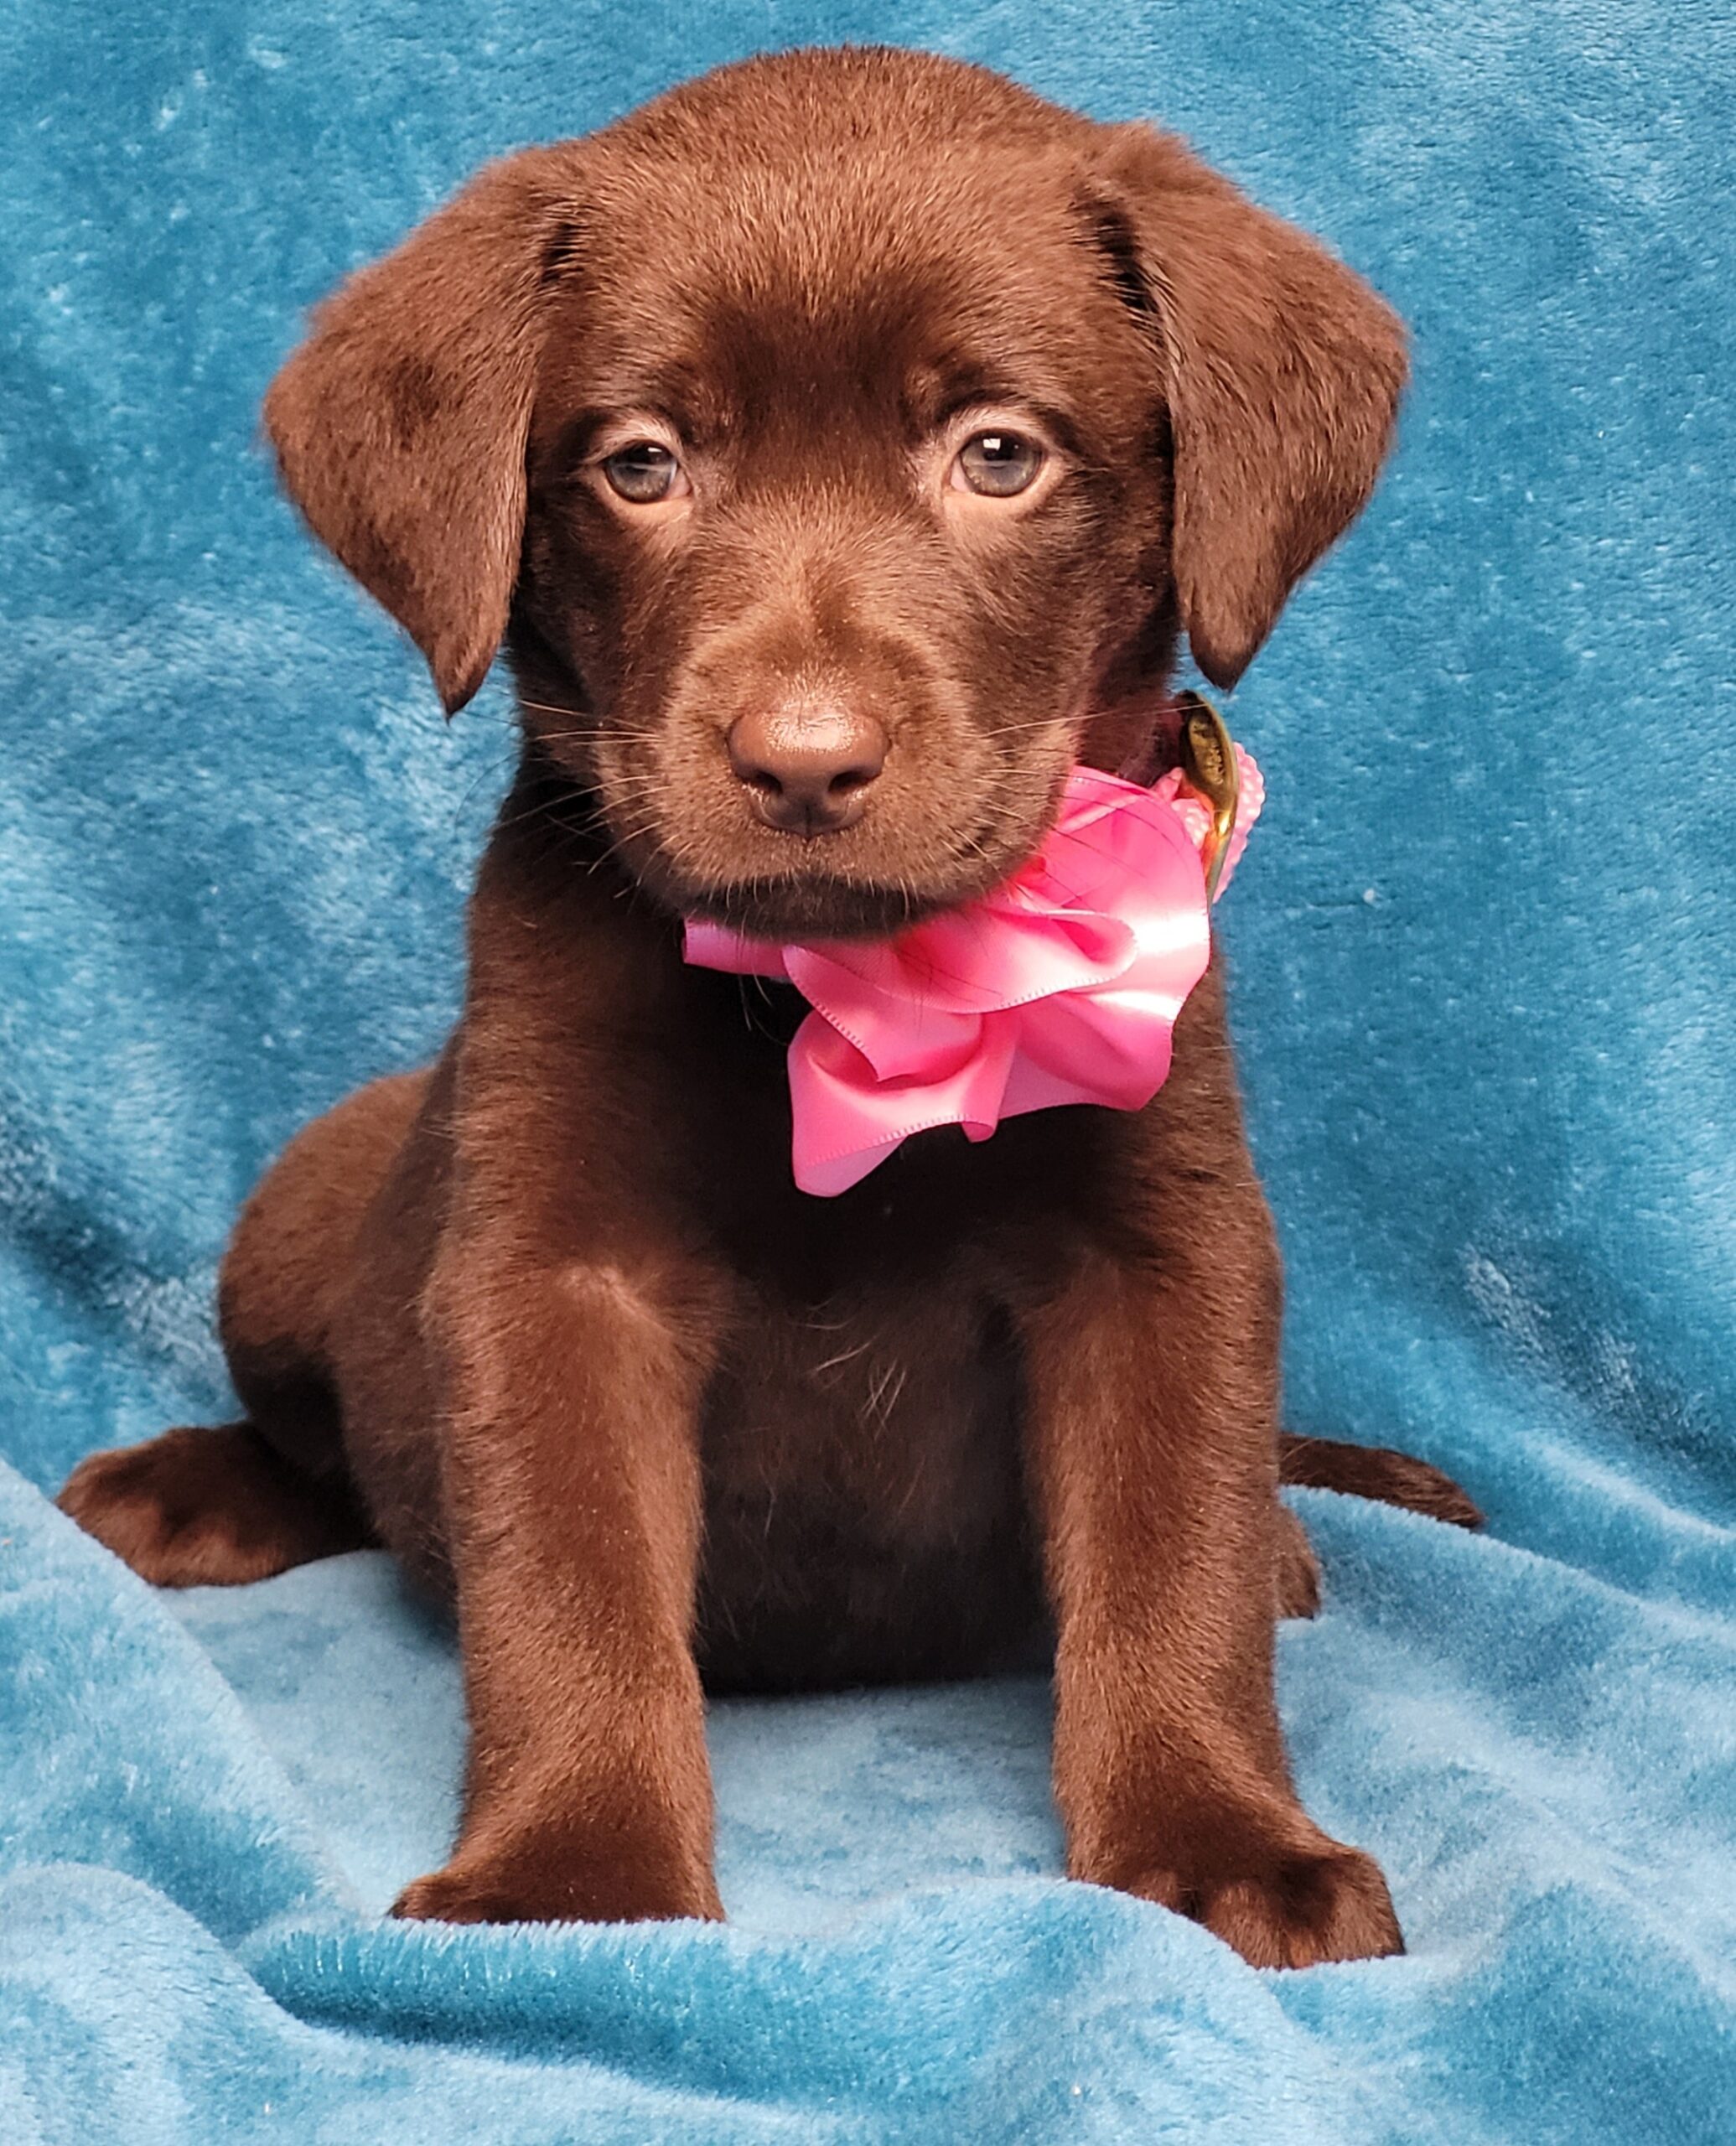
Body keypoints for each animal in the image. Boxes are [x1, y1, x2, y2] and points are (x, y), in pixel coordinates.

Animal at [64, 46, 1476, 1965]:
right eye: (642, 464)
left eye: (999, 453)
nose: (804, 762)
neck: (853, 995)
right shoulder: (549, 1267)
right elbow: (567, 1584)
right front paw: (571, 1877)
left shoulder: (1164, 1239)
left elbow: (1171, 1557)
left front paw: (1222, 1833)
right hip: (306, 1202)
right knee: (325, 1433)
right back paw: (190, 1485)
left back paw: (1284, 1541)